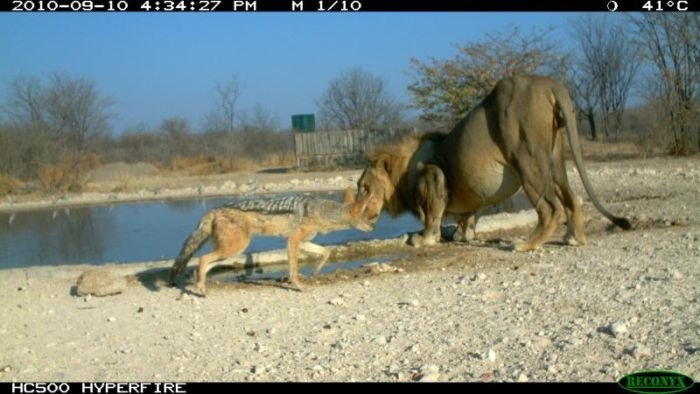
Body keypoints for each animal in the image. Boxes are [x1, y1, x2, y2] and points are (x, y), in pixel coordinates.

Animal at [352, 75, 632, 251]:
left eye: (364, 187)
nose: (353, 214)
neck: (403, 173)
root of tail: (547, 83)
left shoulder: (432, 173)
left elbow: (432, 215)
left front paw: (423, 239)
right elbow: (467, 216)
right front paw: (463, 235)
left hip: (525, 158)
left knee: (550, 207)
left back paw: (526, 245)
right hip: (553, 160)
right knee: (572, 199)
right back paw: (573, 239)